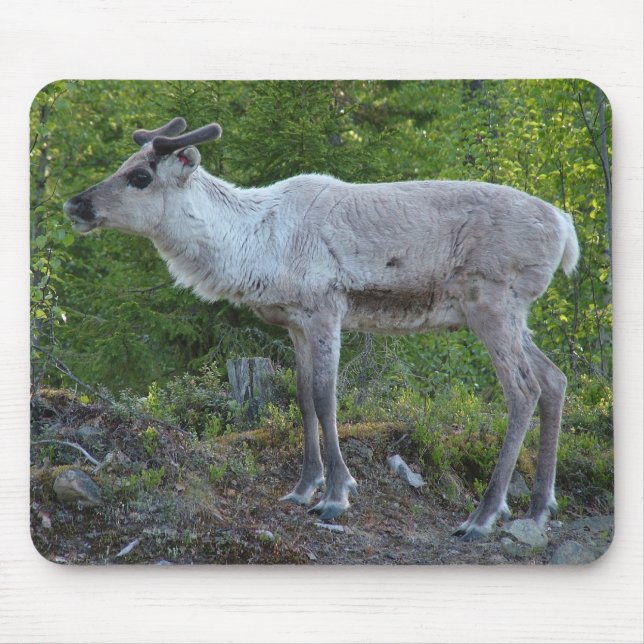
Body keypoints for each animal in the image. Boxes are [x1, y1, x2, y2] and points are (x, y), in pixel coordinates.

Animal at [64, 117, 579, 541]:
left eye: (140, 177)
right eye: (124, 164)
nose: (74, 204)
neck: (254, 244)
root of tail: (566, 227)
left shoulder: (326, 309)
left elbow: (327, 397)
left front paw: (336, 495)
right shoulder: (294, 321)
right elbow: (302, 396)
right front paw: (302, 487)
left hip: (491, 302)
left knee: (524, 389)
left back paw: (483, 516)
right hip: (510, 314)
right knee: (555, 379)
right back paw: (538, 508)